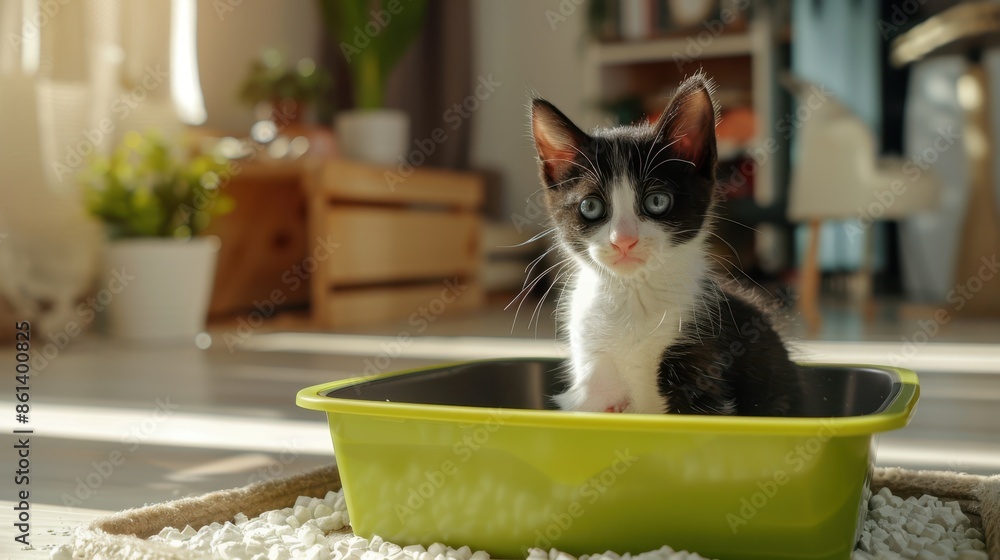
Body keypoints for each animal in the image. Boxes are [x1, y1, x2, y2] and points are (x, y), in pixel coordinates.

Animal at [536, 74, 800, 416]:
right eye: (590, 207)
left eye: (657, 201)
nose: (624, 240)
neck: (632, 295)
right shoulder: (590, 383)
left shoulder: (702, 357)